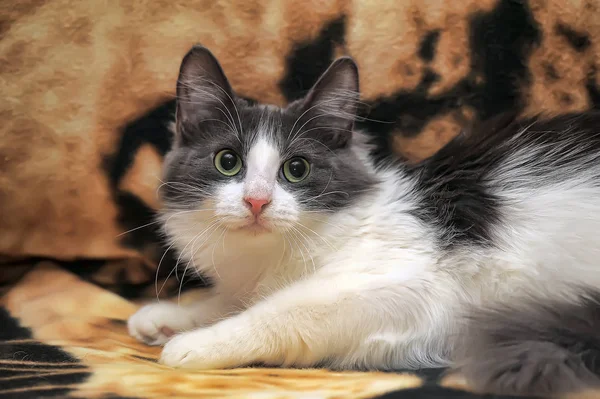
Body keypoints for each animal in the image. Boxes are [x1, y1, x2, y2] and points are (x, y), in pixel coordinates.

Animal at [126, 44, 600, 396]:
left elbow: (280, 312)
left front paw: (195, 343)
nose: (256, 201)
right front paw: (165, 316)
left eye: (296, 169)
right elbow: (226, 300)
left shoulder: (410, 285)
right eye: (228, 162)